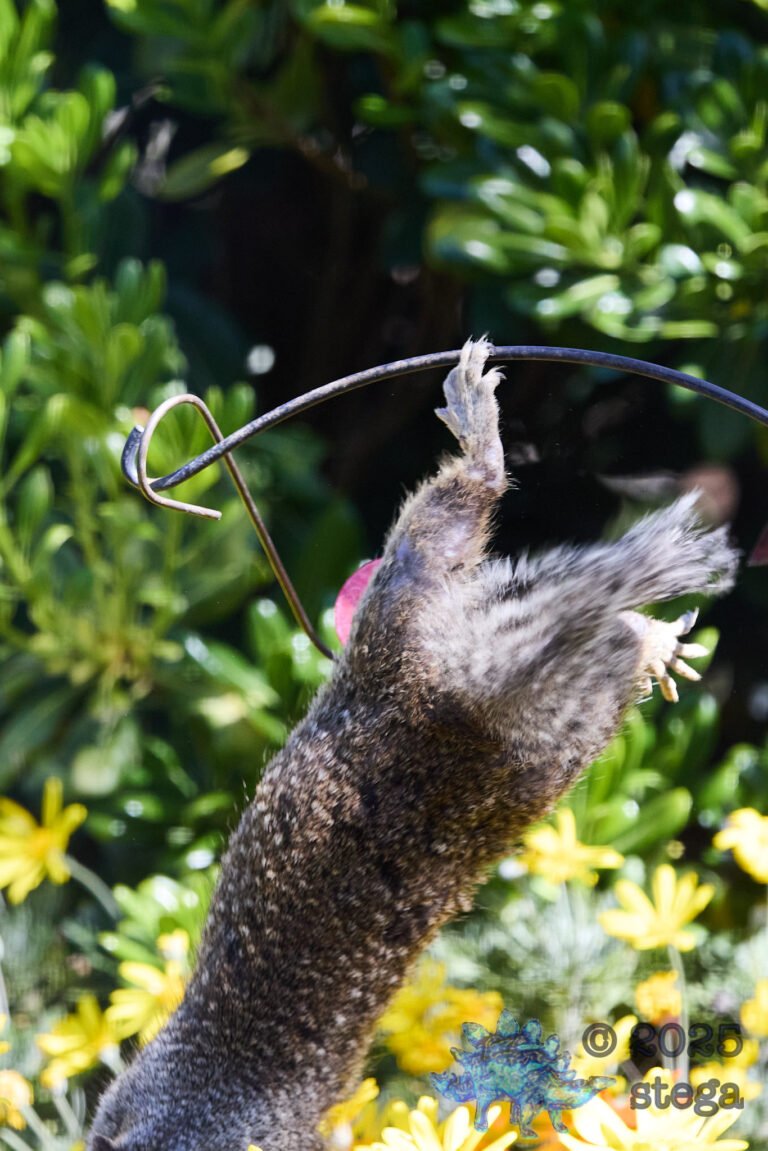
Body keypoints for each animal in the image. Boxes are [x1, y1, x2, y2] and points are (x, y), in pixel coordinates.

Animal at [87, 339, 738, 1151]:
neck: (203, 1098)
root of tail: (462, 688)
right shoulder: (125, 1100)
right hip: (455, 643)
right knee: (501, 555)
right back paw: (645, 633)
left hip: (446, 647)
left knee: (474, 503)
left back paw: (483, 436)